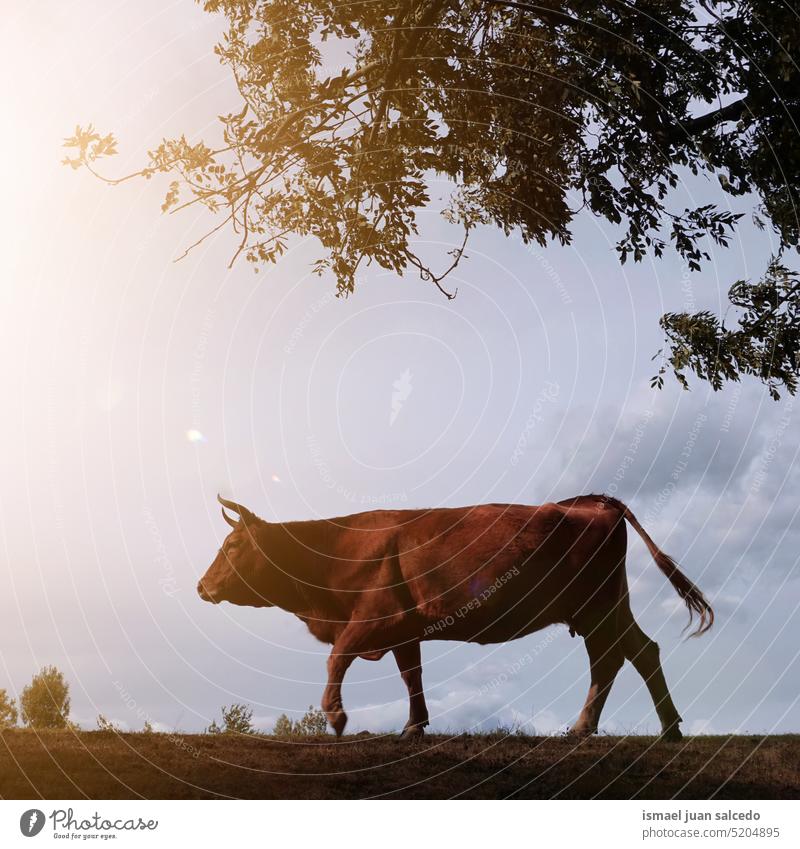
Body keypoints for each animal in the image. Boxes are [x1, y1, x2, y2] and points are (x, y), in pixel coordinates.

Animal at [197, 494, 708, 740]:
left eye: (234, 545)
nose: (201, 586)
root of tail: (590, 503)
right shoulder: (405, 630)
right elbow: (412, 675)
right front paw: (413, 726)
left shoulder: (375, 618)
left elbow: (337, 657)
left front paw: (337, 716)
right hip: (608, 607)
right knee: (637, 653)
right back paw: (658, 728)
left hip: (597, 607)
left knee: (615, 658)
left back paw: (609, 728)